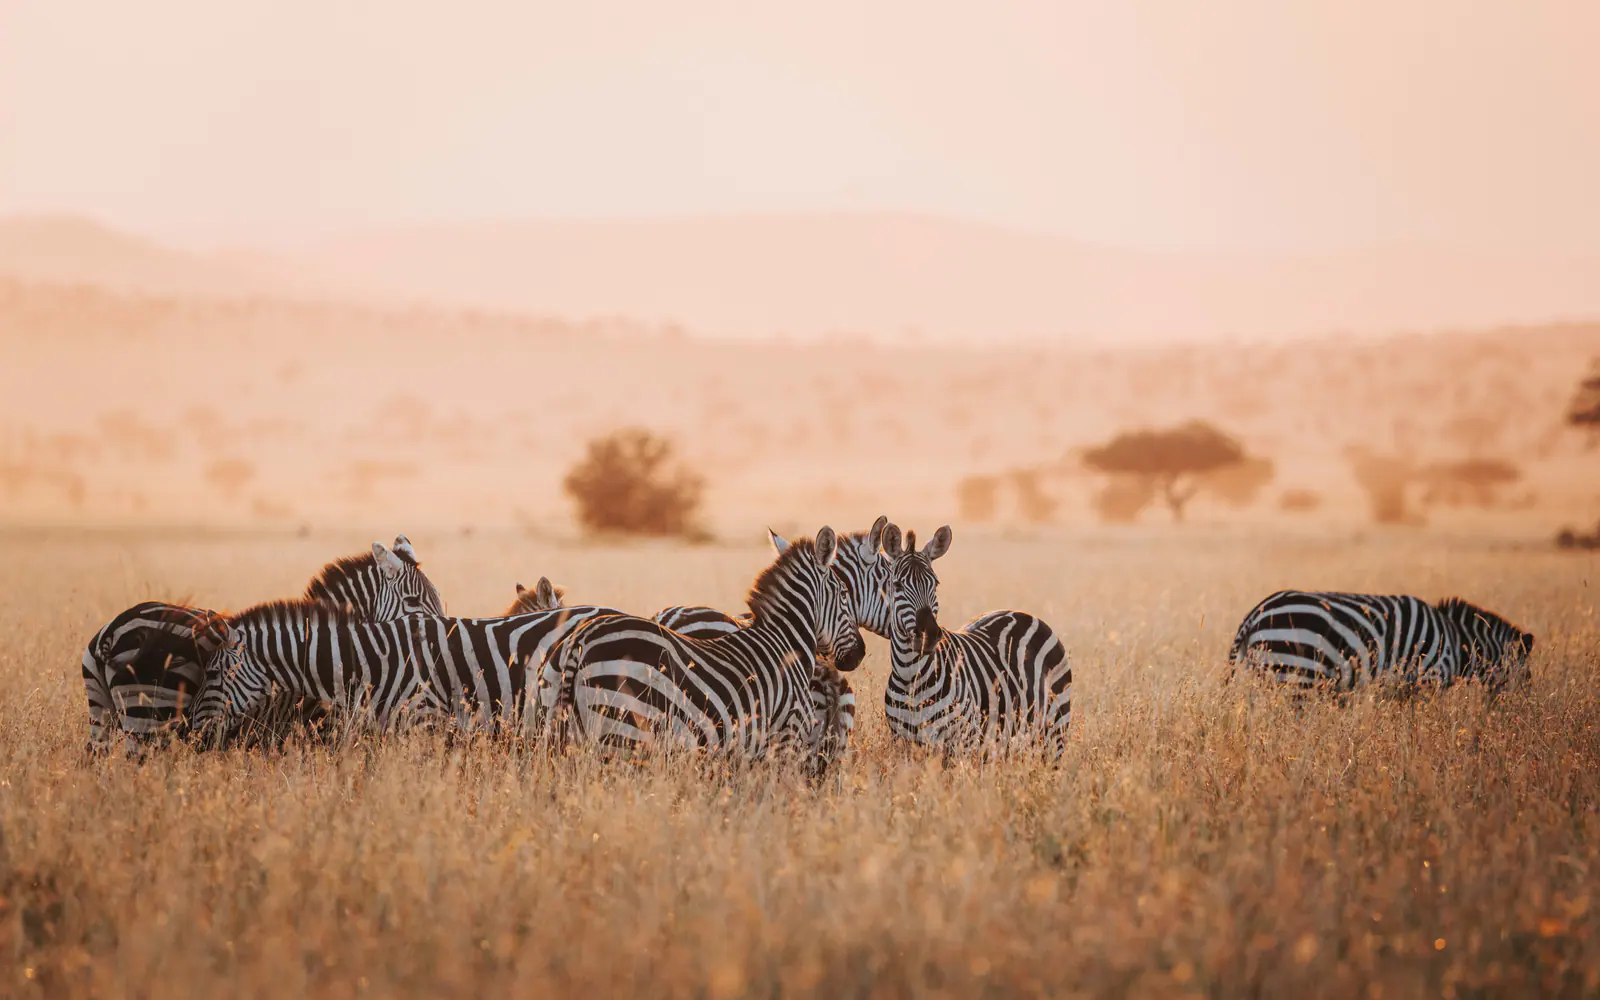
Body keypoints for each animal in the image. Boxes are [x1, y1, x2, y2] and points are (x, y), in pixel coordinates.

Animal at [545, 527, 865, 770]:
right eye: (845, 594)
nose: (859, 654)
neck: (785, 640)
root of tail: (582, 639)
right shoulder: (786, 733)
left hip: (572, 727)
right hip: (623, 728)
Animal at [878, 522, 1073, 760]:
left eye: (936, 584)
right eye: (897, 586)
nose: (930, 635)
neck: (910, 677)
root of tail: (1022, 613)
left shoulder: (961, 742)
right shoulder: (902, 744)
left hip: (1055, 728)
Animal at [1227, 590, 1535, 694]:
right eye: (1527, 675)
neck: (1458, 641)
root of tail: (1254, 614)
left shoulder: (1401, 688)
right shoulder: (1429, 678)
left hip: (1268, 675)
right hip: (1295, 673)